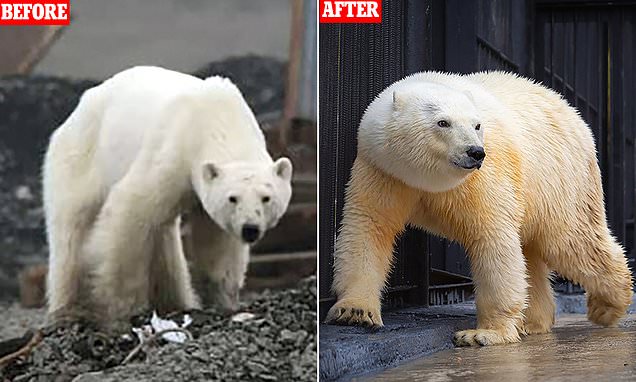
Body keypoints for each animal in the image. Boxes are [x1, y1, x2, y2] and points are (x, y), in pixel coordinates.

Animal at [44, 65, 294, 326]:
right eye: (232, 198)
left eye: (266, 197)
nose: (250, 229)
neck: (218, 118)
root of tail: (78, 108)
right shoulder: (173, 152)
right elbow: (130, 209)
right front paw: (126, 307)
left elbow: (217, 240)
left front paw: (224, 300)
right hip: (81, 157)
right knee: (72, 228)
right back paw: (68, 308)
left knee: (163, 236)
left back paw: (175, 302)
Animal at [326, 71, 632, 346]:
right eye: (443, 122)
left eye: (477, 125)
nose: (475, 152)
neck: (427, 178)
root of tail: (573, 113)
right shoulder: (384, 171)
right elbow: (369, 226)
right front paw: (355, 312)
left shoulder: (482, 178)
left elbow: (492, 237)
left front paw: (482, 334)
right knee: (533, 254)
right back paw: (534, 322)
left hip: (562, 183)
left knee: (573, 243)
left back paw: (606, 307)